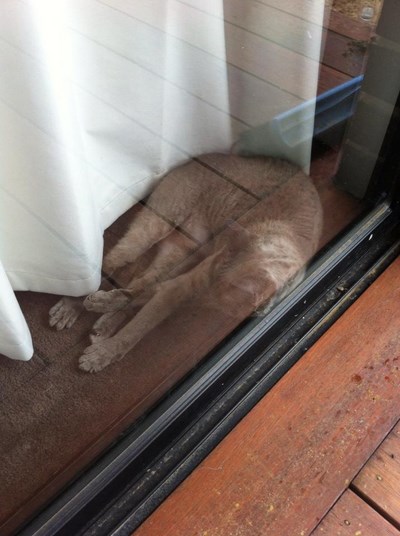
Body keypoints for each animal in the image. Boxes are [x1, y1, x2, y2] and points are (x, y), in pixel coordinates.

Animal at [49, 153, 322, 372]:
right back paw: (72, 306)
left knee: (141, 282)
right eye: (221, 275)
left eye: (224, 291)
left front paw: (104, 342)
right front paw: (102, 353)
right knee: (110, 266)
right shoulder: (183, 285)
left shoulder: (185, 284)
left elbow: (138, 308)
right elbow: (136, 330)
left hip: (182, 253)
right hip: (154, 229)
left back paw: (105, 321)